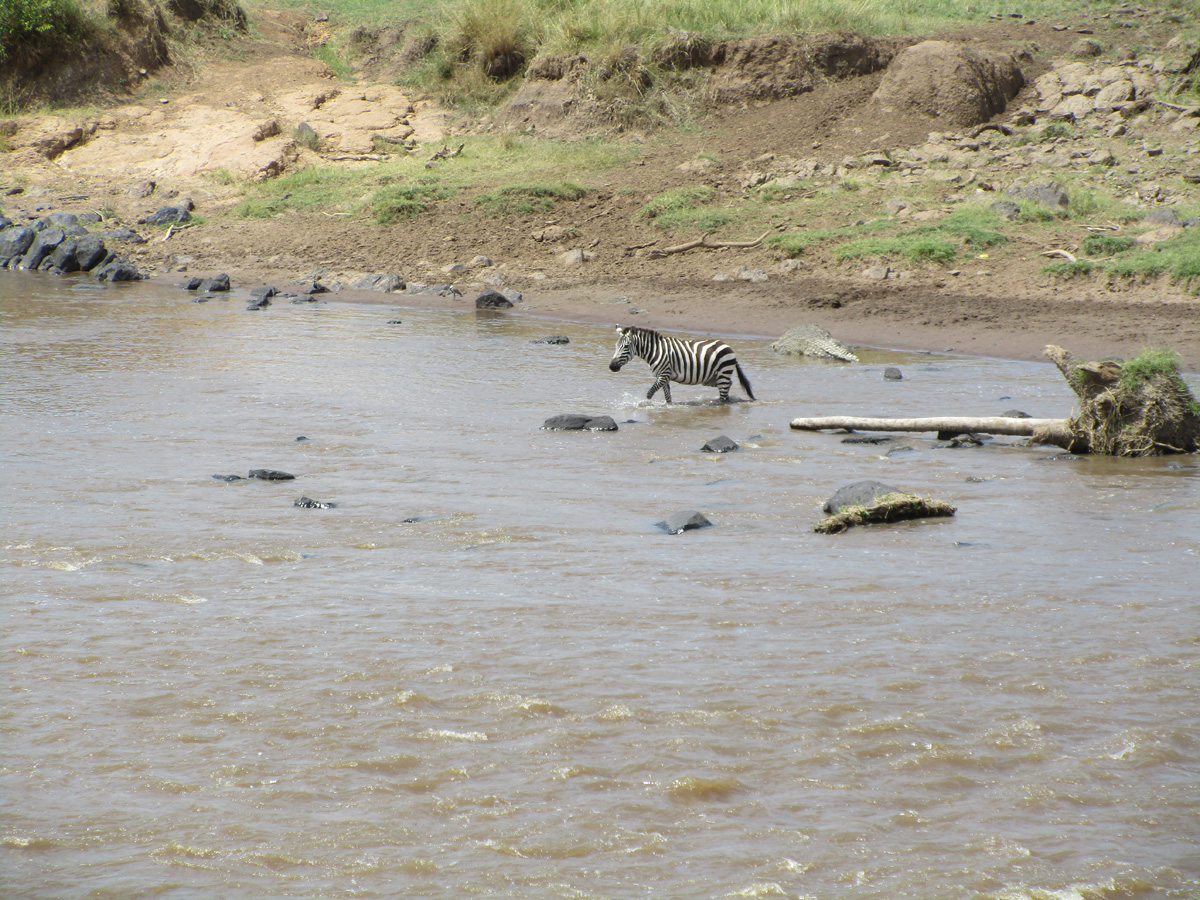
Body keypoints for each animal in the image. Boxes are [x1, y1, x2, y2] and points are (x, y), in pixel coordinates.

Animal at [608, 325, 755, 403]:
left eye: (626, 346)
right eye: (616, 346)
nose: (612, 366)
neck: (656, 351)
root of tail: (727, 346)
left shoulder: (663, 375)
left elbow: (649, 393)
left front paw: (646, 404)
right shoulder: (664, 377)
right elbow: (668, 397)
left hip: (723, 372)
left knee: (724, 392)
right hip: (713, 378)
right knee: (728, 386)